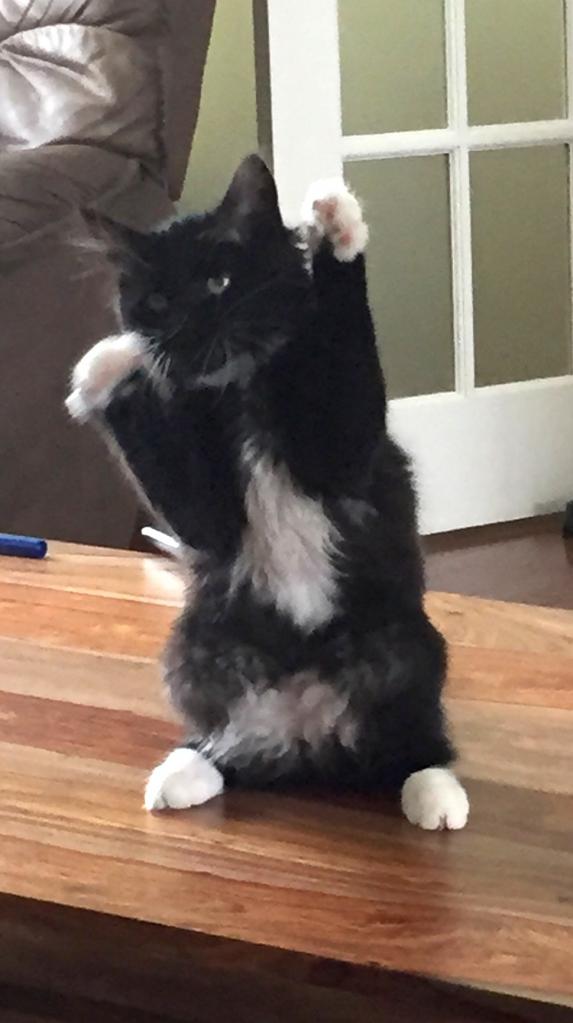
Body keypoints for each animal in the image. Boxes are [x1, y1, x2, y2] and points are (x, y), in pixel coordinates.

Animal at [67, 155, 469, 830]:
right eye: (157, 300)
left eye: (219, 281)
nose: (187, 325)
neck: (241, 387)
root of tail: (309, 730)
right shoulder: (204, 514)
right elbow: (187, 502)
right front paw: (109, 366)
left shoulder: (345, 451)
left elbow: (348, 345)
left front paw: (336, 223)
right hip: (194, 650)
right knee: (231, 745)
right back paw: (187, 769)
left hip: (407, 644)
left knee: (413, 738)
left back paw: (435, 792)